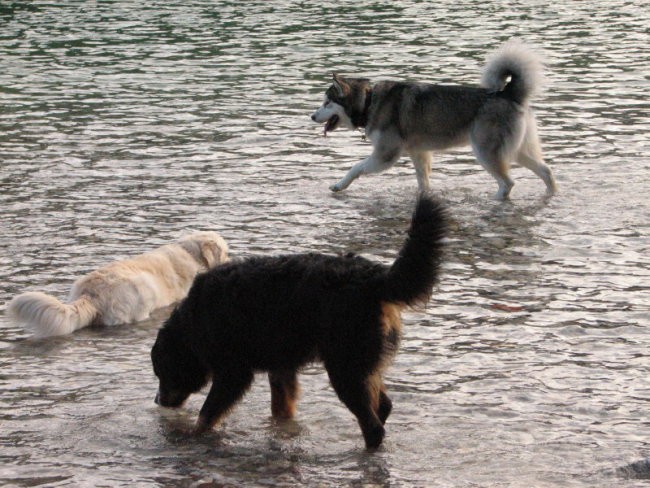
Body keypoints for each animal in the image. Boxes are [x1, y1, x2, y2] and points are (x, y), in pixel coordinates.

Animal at [151, 195, 446, 450]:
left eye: (163, 372)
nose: (158, 400)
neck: (193, 321)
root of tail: (374, 277)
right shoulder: (281, 367)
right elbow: (281, 409)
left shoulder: (233, 372)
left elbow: (207, 414)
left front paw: (192, 437)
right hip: (361, 365)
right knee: (383, 406)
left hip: (346, 369)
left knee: (373, 426)